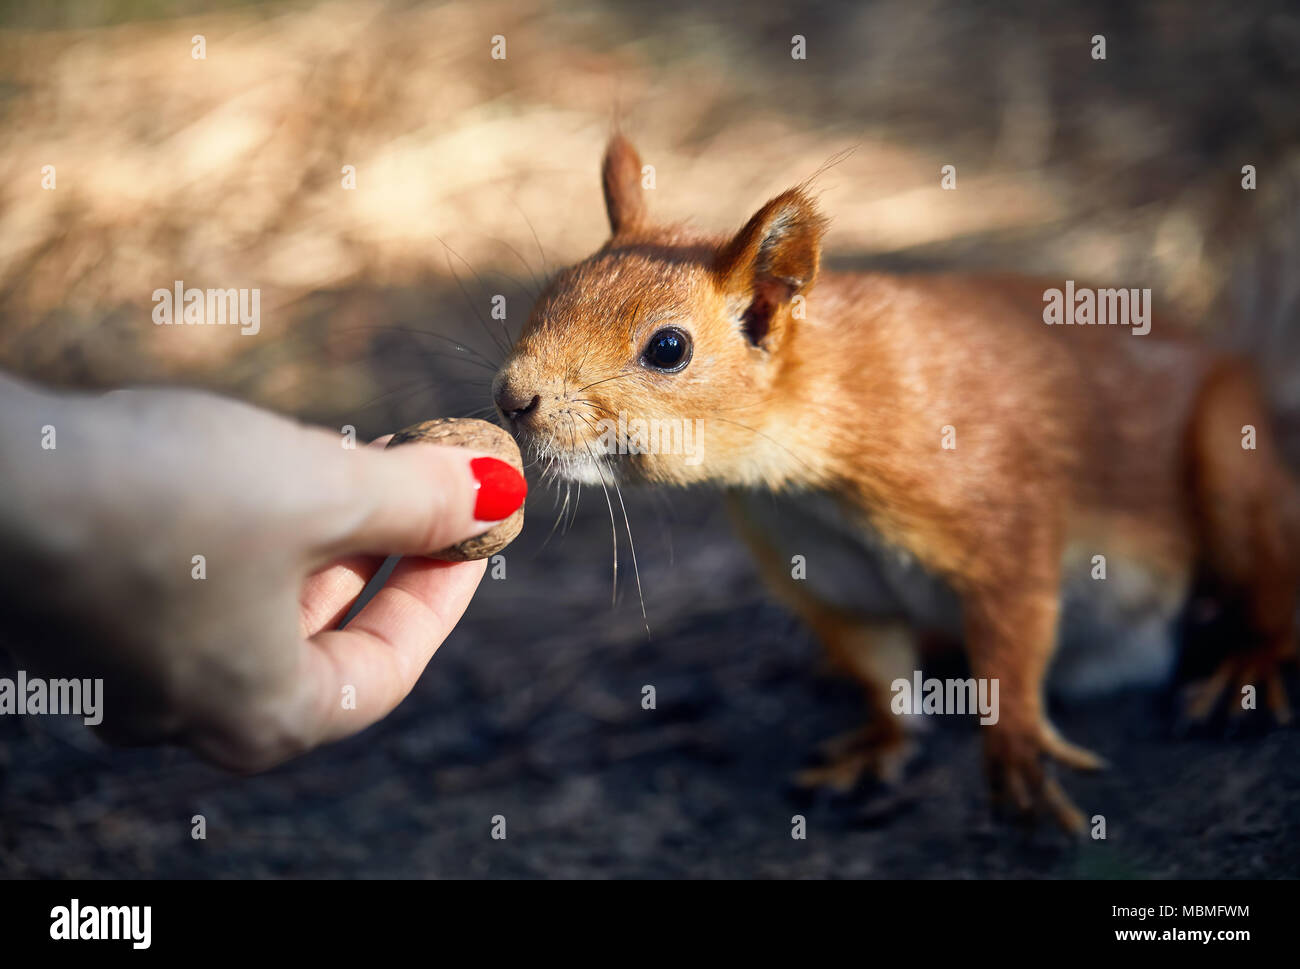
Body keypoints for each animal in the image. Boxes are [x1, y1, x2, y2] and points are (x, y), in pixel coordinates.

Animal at [488, 133, 1300, 832]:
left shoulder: (994, 505)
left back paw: (1248, 668)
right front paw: (879, 743)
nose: (512, 397)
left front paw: (1018, 749)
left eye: (667, 348)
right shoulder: (826, 568)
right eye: (553, 289)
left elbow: (1014, 624)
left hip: (1226, 450)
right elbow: (878, 666)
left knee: (1267, 567)